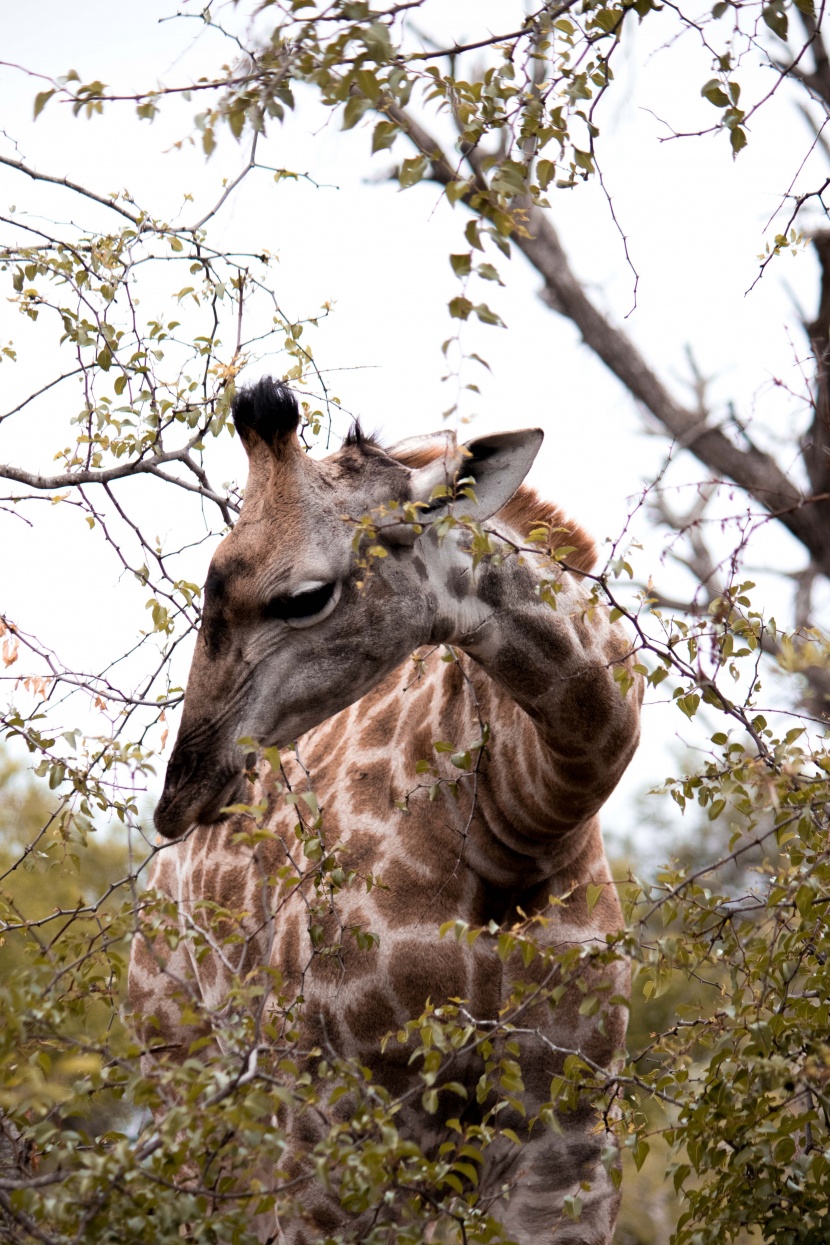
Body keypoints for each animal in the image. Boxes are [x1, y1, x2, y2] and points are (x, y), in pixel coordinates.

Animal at [130, 378, 642, 1245]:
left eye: (305, 596)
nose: (183, 793)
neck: (529, 818)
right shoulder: (343, 1123)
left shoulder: (565, 1142)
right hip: (187, 1075)